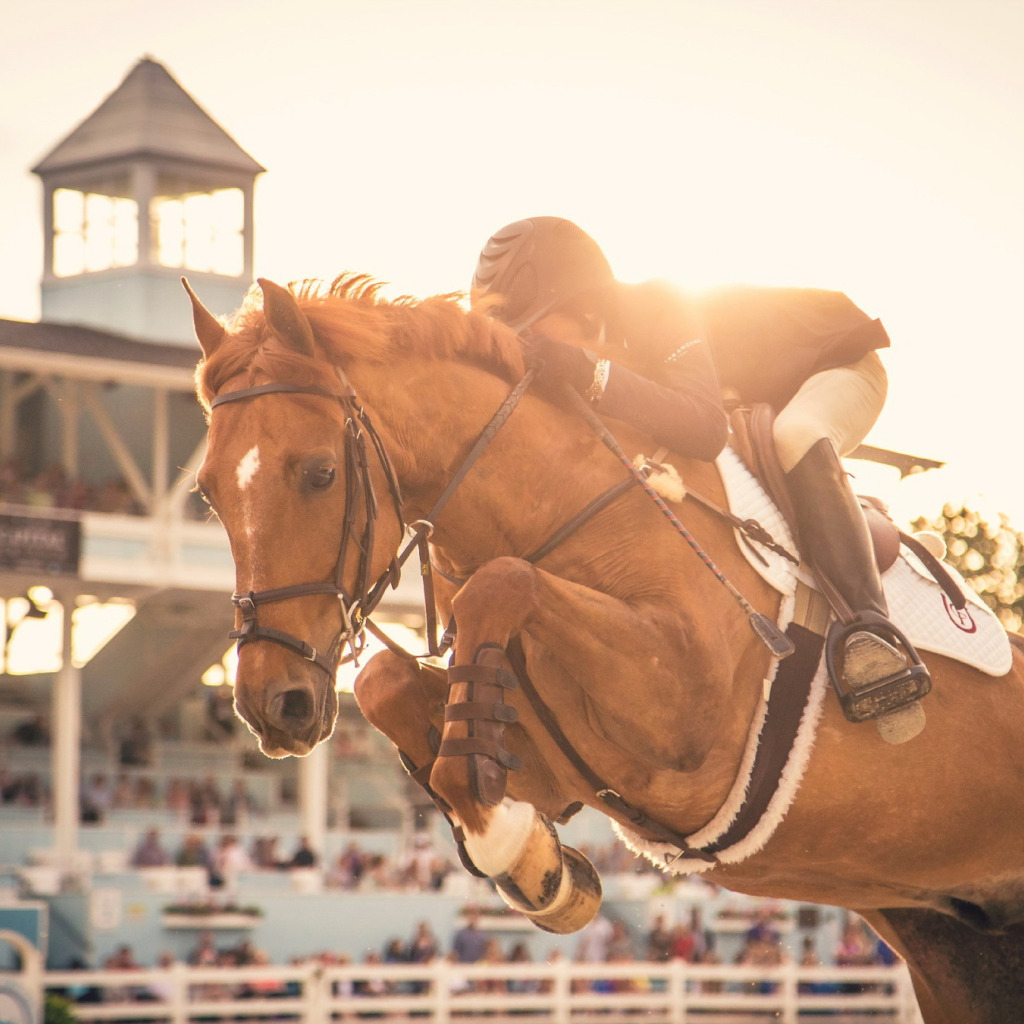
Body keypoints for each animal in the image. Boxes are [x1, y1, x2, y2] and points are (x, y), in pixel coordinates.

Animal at [190, 274, 1024, 1024]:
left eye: (321, 473)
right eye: (207, 493)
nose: (274, 705)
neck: (561, 505)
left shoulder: (683, 714)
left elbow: (499, 581)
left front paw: (507, 840)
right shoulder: (562, 758)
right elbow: (387, 683)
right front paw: (536, 860)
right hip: (956, 940)